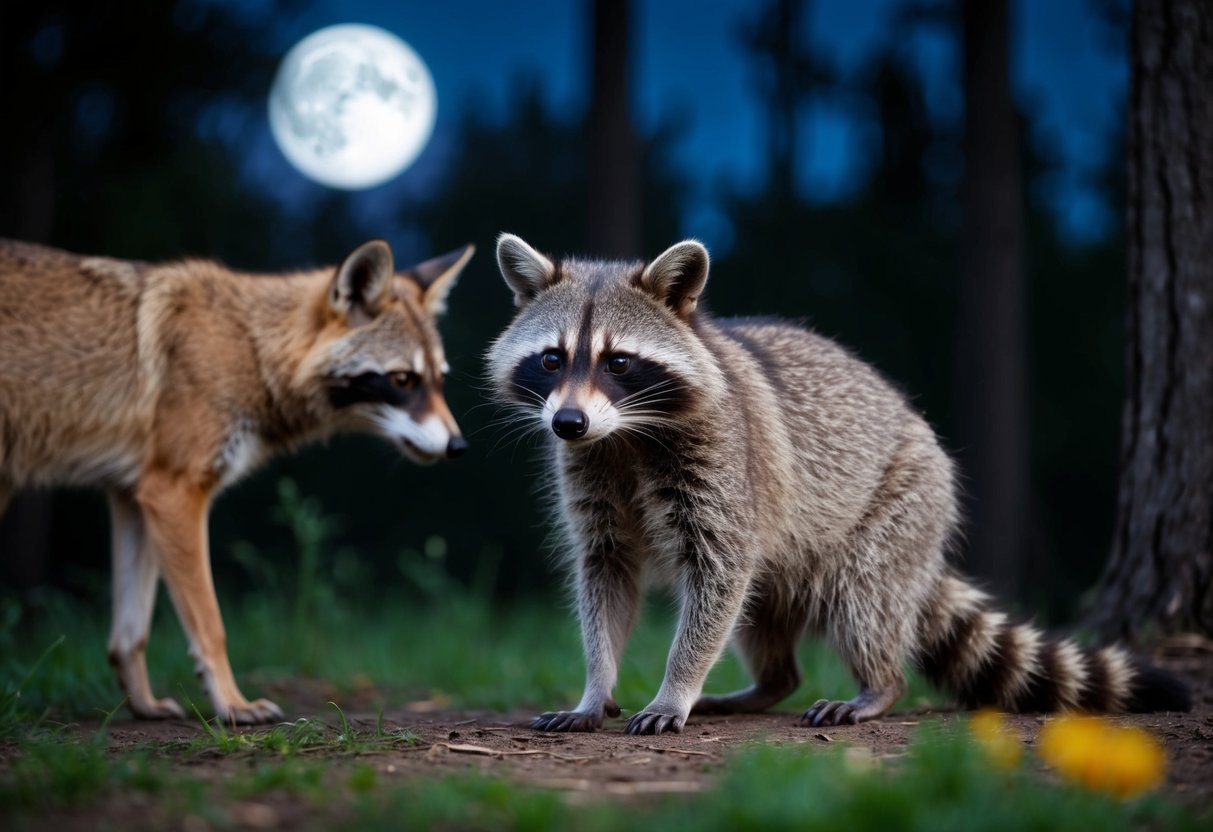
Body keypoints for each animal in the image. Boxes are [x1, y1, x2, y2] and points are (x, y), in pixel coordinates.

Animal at [486, 233, 1191, 735]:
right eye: (552, 359)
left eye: (619, 362)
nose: (567, 422)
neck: (625, 435)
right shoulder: (592, 476)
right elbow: (605, 576)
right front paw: (595, 684)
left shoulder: (724, 465)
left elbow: (718, 576)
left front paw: (676, 685)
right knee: (764, 617)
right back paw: (768, 684)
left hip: (905, 501)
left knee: (863, 598)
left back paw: (879, 685)